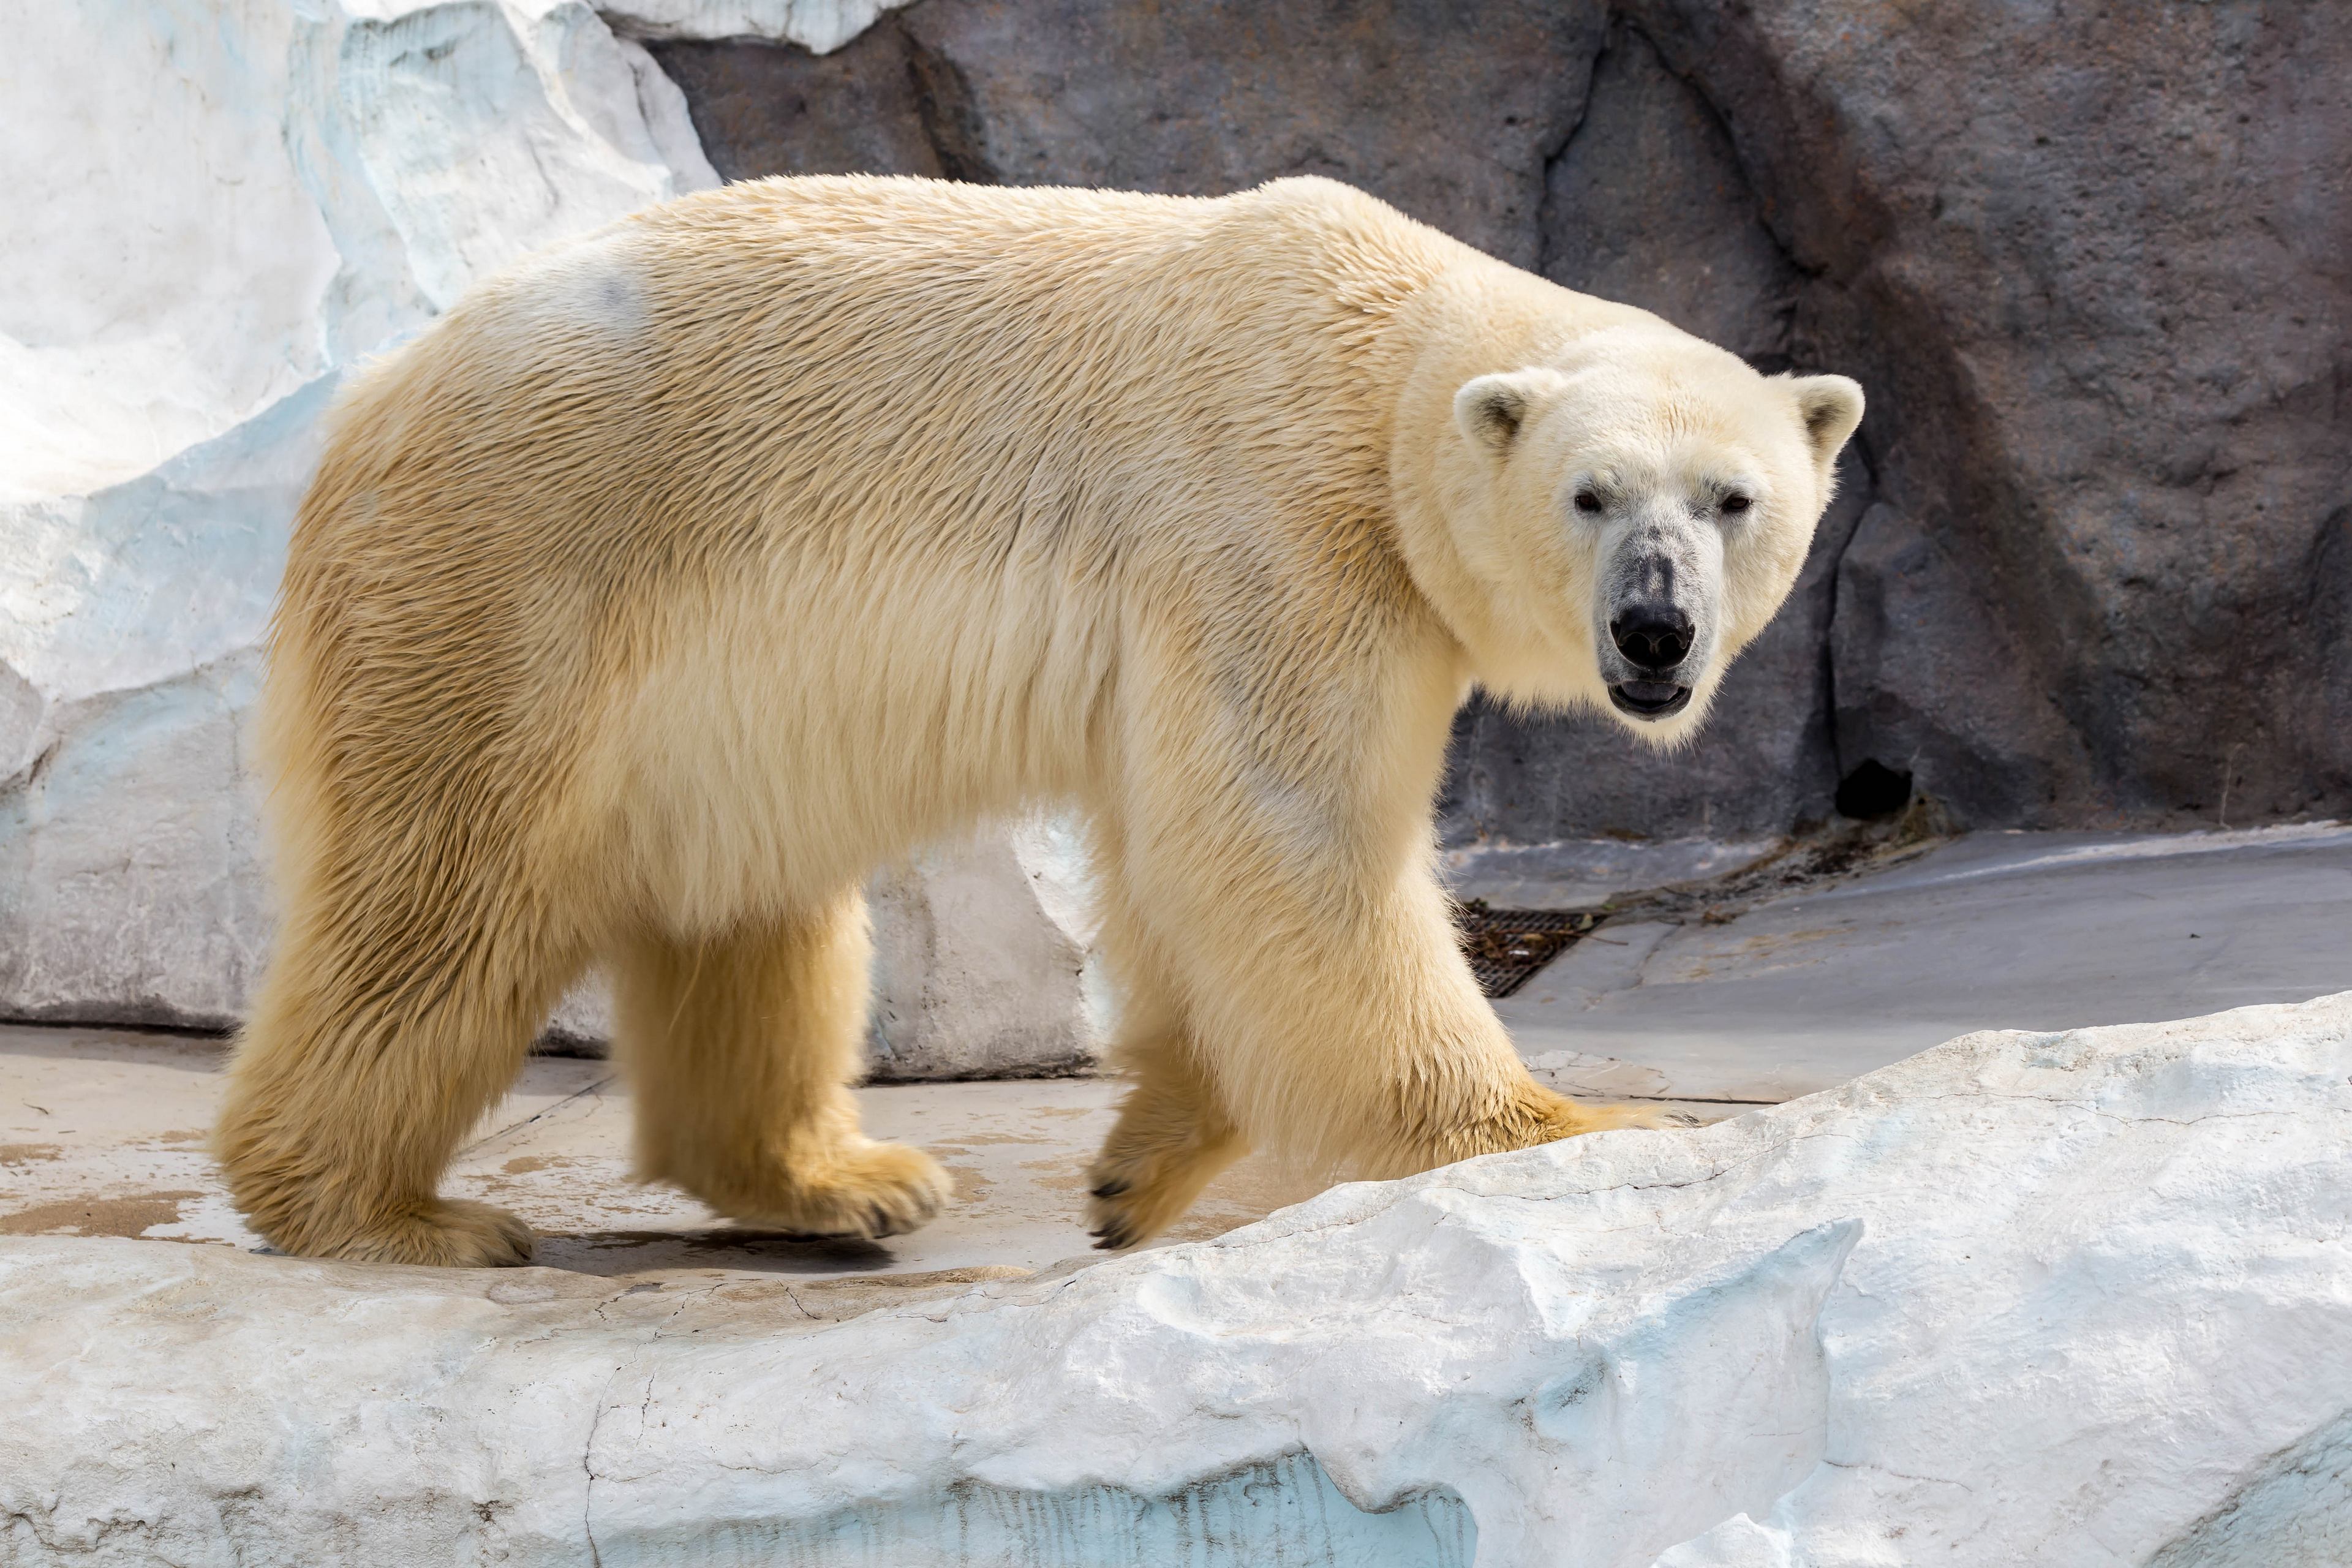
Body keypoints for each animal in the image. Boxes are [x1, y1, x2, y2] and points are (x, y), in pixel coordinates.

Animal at [211, 177, 1853, 1269]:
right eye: (1590, 494)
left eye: (1732, 496)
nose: (1655, 627)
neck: (1378, 365)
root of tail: (373, 398)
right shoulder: (1275, 530)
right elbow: (1288, 836)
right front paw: (1574, 1126)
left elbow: (1184, 853)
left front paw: (1139, 1168)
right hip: (515, 574)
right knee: (443, 889)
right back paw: (383, 1208)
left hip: (697, 688)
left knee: (746, 904)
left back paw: (840, 1179)